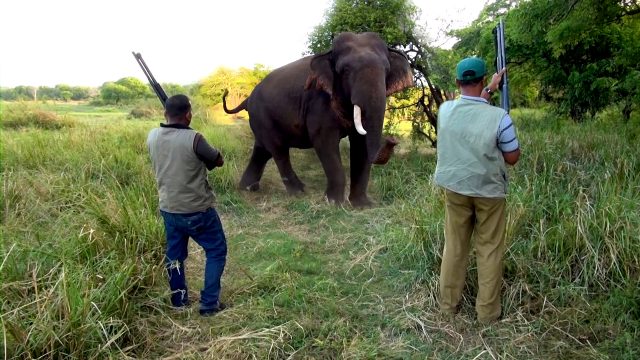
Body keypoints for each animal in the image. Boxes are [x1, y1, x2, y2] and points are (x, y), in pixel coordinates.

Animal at [224, 32, 416, 207]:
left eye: (386, 71)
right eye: (345, 71)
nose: (392, 139)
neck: (328, 53)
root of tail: (247, 99)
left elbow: (360, 143)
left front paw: (362, 206)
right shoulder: (319, 101)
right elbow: (324, 140)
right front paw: (334, 204)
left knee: (262, 150)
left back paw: (247, 188)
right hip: (262, 116)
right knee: (278, 150)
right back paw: (299, 191)